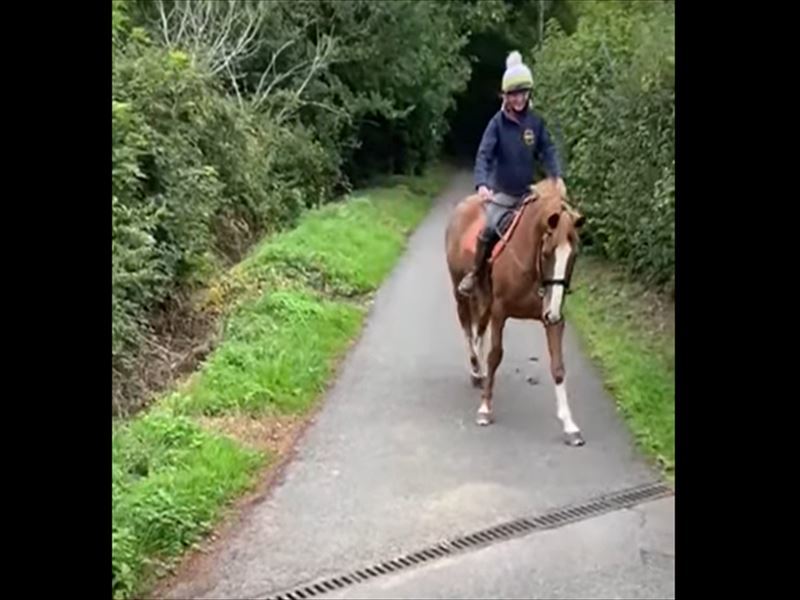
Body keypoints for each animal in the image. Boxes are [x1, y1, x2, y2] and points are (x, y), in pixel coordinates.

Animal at [444, 178, 588, 446]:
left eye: (573, 255)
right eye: (547, 253)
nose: (552, 311)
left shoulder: (553, 319)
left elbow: (558, 367)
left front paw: (570, 425)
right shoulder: (500, 311)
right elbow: (495, 356)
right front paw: (485, 410)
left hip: (484, 301)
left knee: (478, 331)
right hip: (461, 294)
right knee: (467, 329)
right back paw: (476, 370)